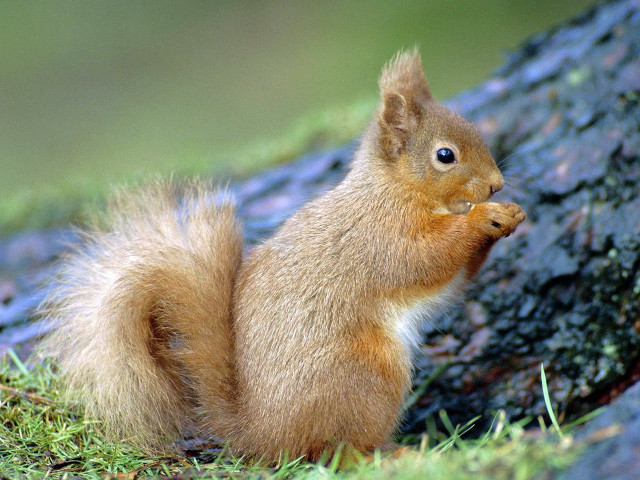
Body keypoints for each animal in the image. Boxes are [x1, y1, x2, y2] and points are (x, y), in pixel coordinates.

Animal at [40, 49, 526, 462]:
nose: (496, 185)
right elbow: (428, 258)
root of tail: (262, 433)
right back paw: (394, 453)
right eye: (445, 155)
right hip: (366, 374)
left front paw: (511, 215)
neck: (394, 190)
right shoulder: (382, 238)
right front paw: (484, 218)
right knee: (334, 450)